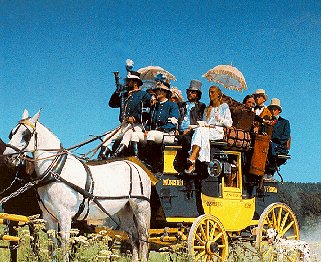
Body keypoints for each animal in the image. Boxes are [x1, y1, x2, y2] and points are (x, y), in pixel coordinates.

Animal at [3, 109, 151, 262]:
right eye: (11, 133)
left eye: (26, 134)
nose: (7, 158)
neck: (56, 172)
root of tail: (136, 167)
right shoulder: (48, 218)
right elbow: (52, 246)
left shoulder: (65, 216)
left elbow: (64, 246)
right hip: (125, 210)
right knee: (133, 236)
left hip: (141, 208)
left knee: (143, 237)